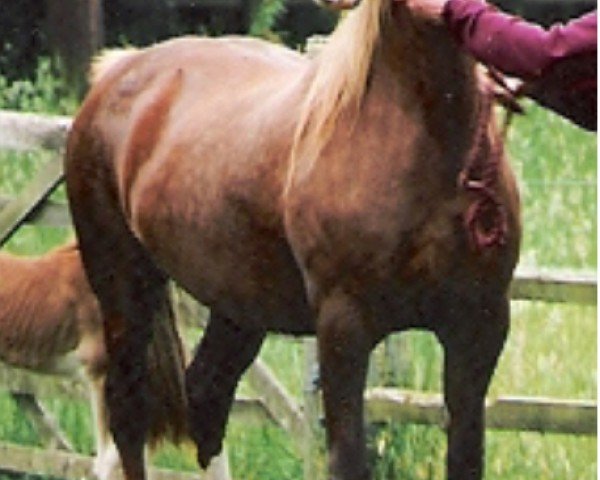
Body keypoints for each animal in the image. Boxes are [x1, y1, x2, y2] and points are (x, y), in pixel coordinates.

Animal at [65, 0, 520, 480]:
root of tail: (119, 70)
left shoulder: (479, 325)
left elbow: (466, 455)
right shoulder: (343, 327)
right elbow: (347, 458)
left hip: (239, 307)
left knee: (206, 396)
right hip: (123, 285)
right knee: (128, 414)